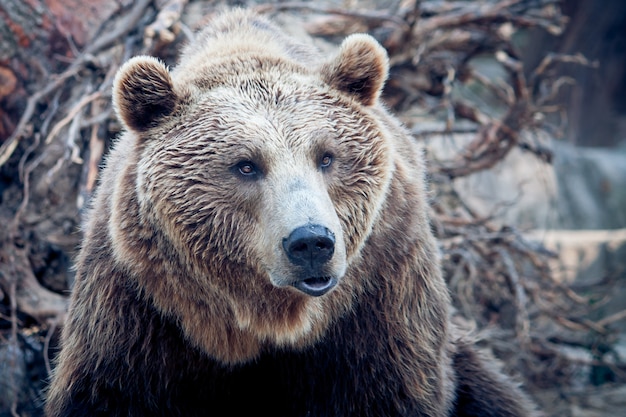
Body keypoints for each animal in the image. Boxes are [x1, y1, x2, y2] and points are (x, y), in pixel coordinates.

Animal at [46, 8, 536, 416]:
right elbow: (110, 390)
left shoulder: (382, 293)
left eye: (327, 156)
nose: (312, 242)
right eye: (245, 164)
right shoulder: (138, 305)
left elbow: (390, 388)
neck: (269, 322)